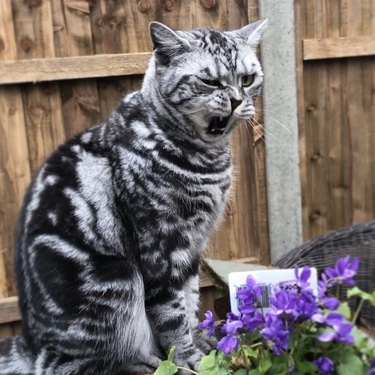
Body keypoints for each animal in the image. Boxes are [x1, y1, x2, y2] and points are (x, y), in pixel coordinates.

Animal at [0, 19, 268, 374]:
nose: (237, 100)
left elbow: (190, 300)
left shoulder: (190, 249)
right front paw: (189, 359)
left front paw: (200, 342)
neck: (205, 161)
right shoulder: (160, 247)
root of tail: (30, 345)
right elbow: (172, 315)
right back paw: (145, 360)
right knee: (71, 364)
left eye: (247, 79)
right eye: (209, 80)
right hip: (120, 280)